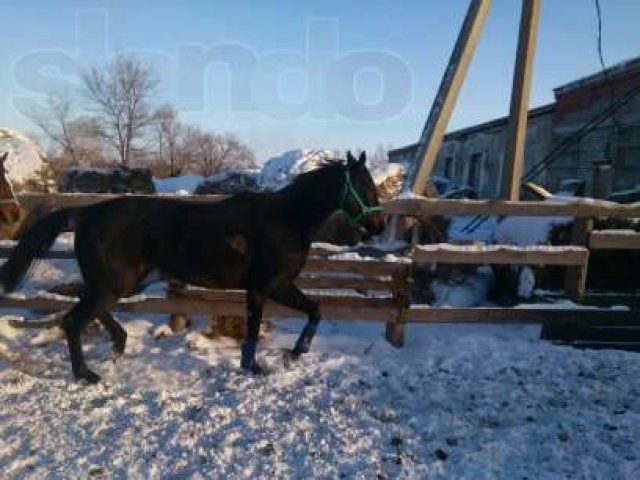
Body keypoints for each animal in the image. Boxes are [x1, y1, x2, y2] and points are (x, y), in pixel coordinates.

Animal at [0, 152, 384, 384]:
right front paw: (265, 364)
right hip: (115, 284)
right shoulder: (268, 286)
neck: (286, 220)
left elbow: (313, 311)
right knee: (72, 320)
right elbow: (260, 327)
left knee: (84, 307)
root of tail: (88, 213)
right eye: (364, 185)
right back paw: (86, 374)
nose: (378, 225)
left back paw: (119, 345)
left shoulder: (270, 288)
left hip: (124, 283)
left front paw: (287, 356)